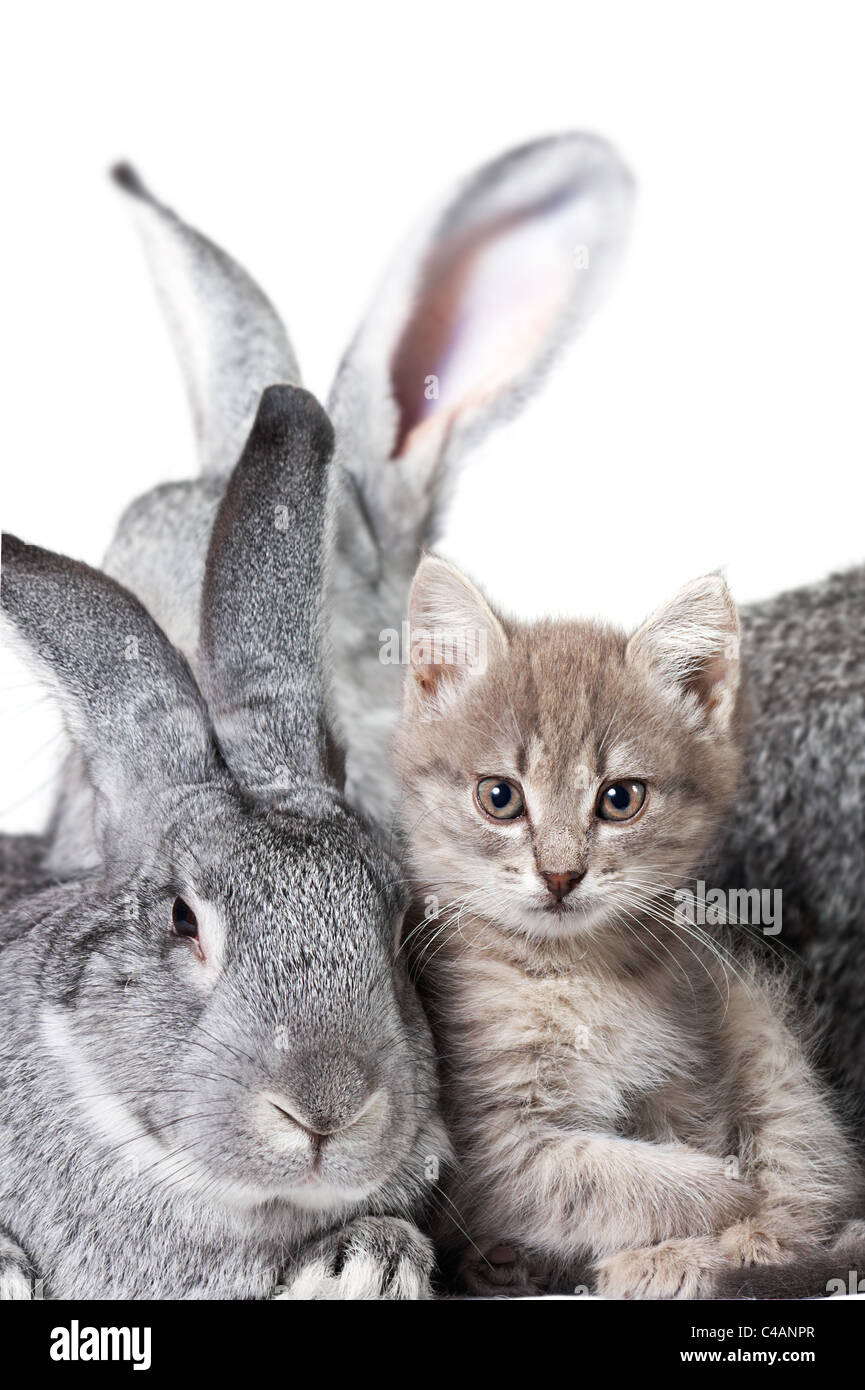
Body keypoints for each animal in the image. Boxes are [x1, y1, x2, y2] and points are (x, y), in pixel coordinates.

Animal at [397, 556, 862, 1301]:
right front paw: (714, 1203)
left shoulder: (688, 1072)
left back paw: (760, 1243)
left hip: (762, 1033)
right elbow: (601, 1176)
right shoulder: (490, 1147)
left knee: (813, 1178)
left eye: (620, 799)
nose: (560, 875)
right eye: (499, 797)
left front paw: (696, 1248)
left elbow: (679, 1155)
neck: (575, 973)